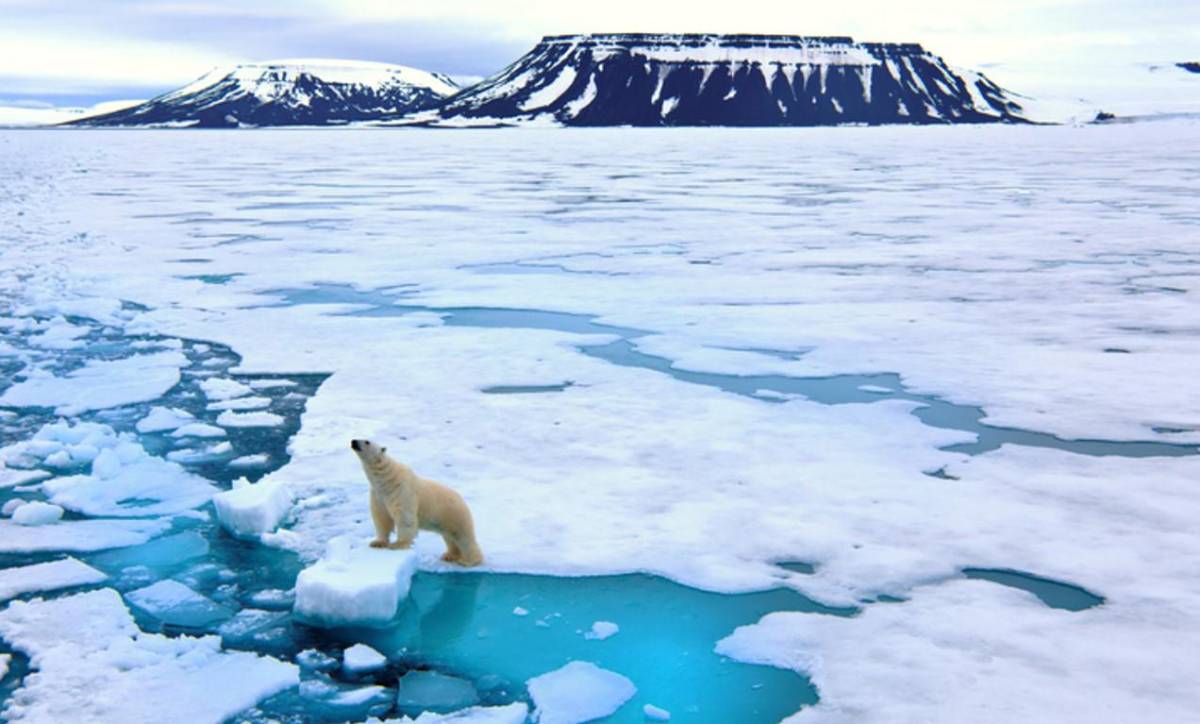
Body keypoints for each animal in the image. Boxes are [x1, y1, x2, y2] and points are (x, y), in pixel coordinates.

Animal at [348, 439, 482, 569]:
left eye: (367, 441)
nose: (353, 441)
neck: (386, 480)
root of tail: (462, 500)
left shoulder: (402, 490)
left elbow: (404, 517)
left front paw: (398, 544)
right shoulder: (378, 495)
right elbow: (382, 517)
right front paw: (377, 542)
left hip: (454, 514)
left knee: (463, 537)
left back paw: (469, 561)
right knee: (449, 537)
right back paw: (449, 556)